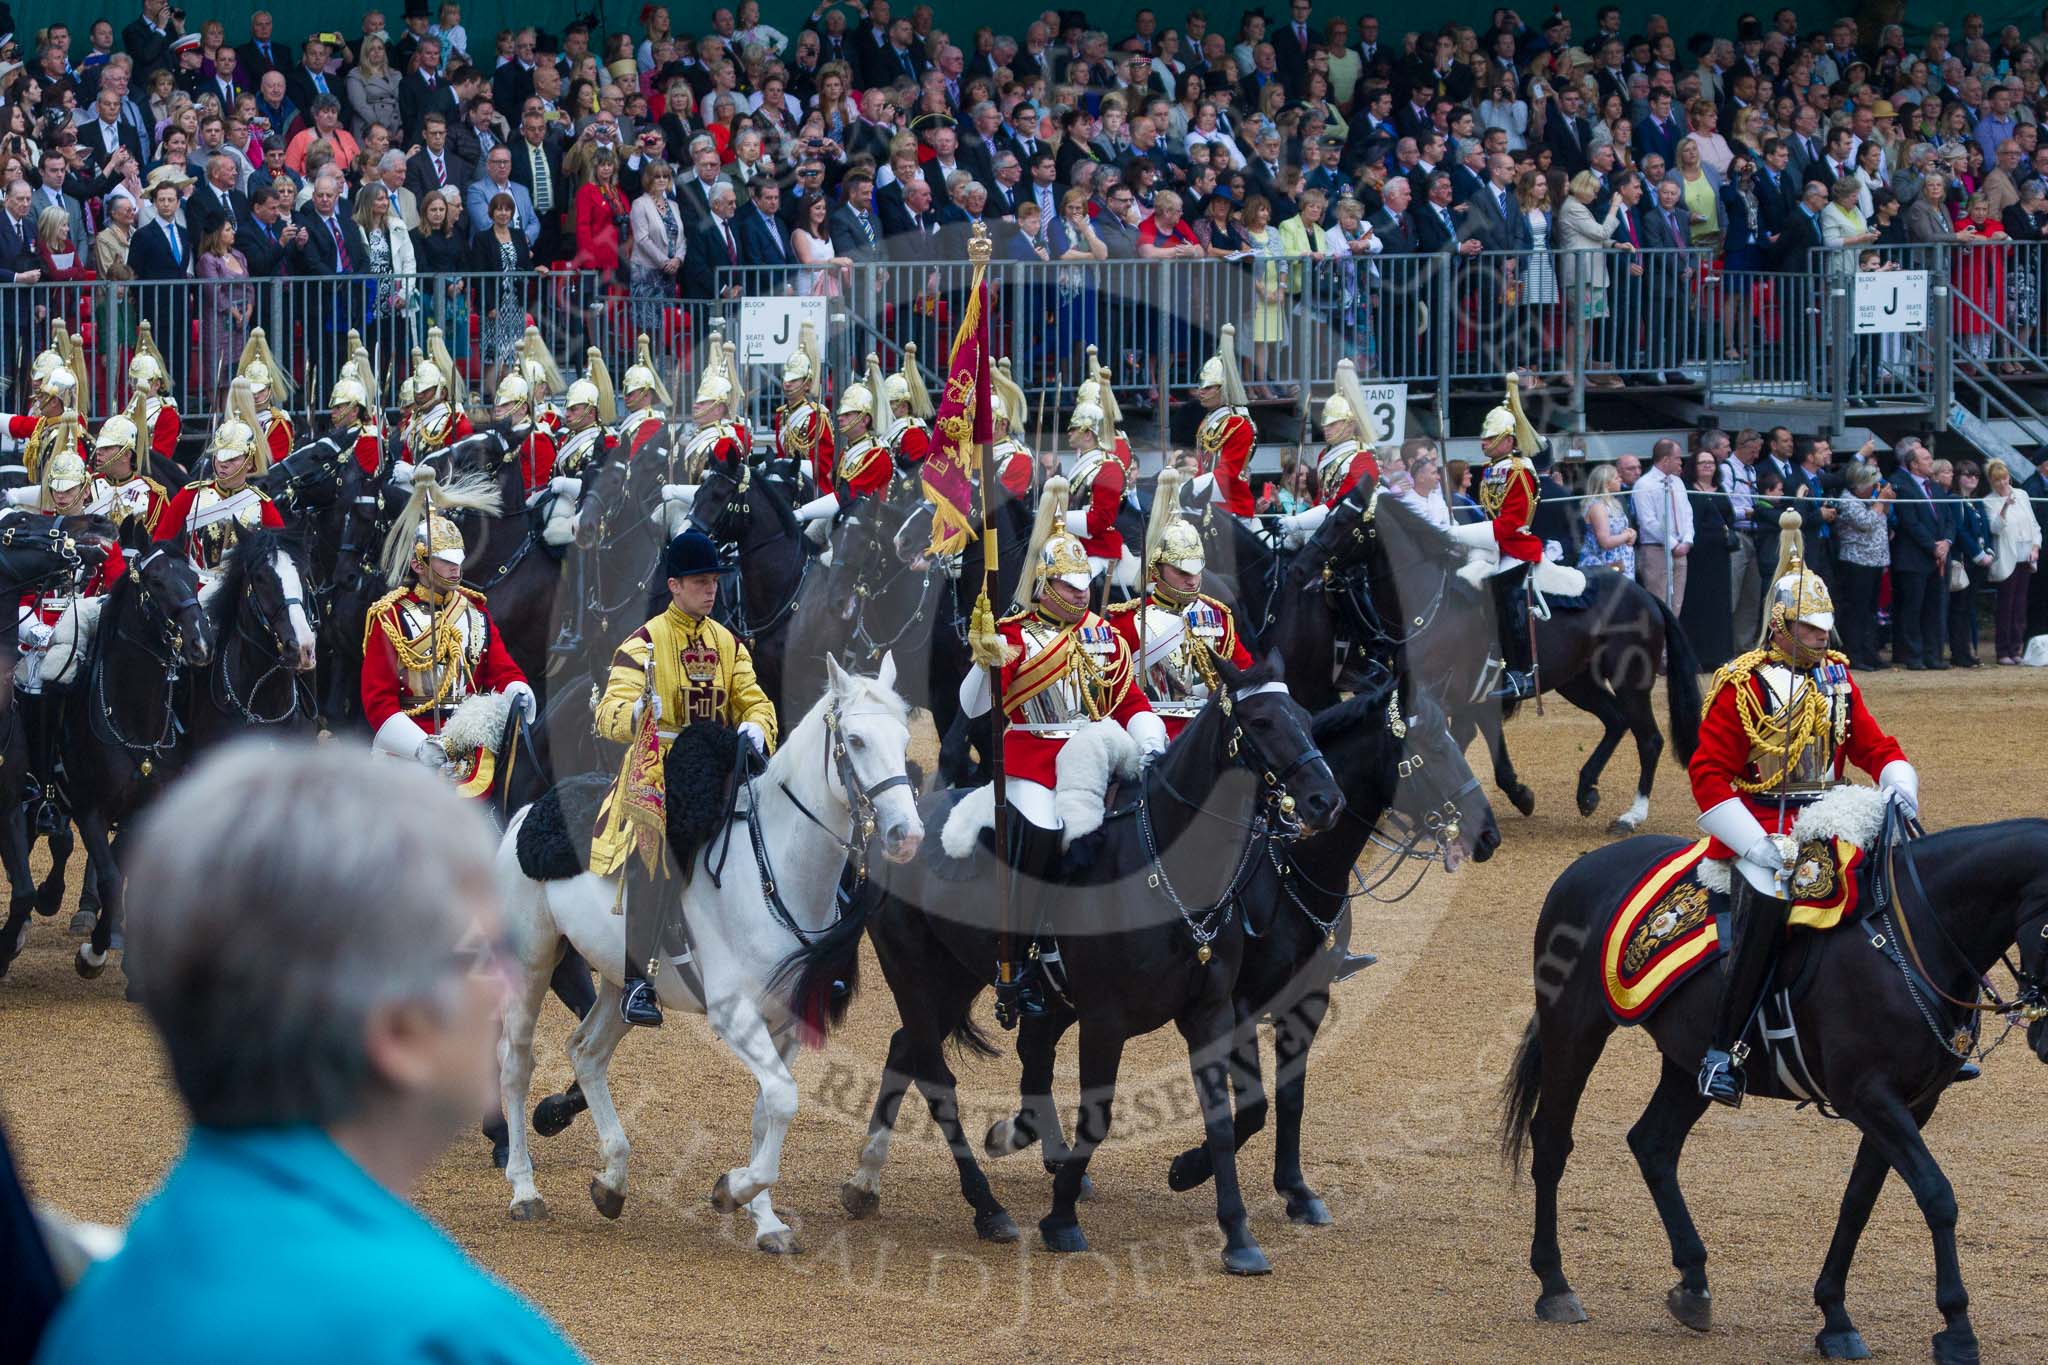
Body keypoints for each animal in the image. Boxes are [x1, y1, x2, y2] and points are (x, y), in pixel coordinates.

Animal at [491, 654, 917, 1252]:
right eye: (854, 740)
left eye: (904, 738)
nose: (907, 834)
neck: (775, 872)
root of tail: (530, 809)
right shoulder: (734, 1014)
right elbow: (784, 1099)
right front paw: (732, 1191)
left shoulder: (785, 1023)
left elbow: (769, 1108)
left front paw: (766, 1219)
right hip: (531, 963)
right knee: (517, 1062)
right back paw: (524, 1190)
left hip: (620, 982)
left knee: (586, 1052)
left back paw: (612, 1180)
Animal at [778, 650, 1343, 1268]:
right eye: (1261, 722)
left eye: (1307, 717)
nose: (1326, 802)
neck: (1168, 868)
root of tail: (894, 833)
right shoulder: (1106, 1021)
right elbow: (1097, 1118)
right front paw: (1061, 1219)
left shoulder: (1212, 1011)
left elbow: (1223, 1114)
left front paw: (1236, 1233)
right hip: (915, 974)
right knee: (936, 1077)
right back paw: (987, 1207)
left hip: (959, 977)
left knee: (910, 1050)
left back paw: (868, 1180)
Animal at [1499, 818, 2048, 1358]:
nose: (2044, 1038)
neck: (1911, 940)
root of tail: (1586, 867)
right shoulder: (1868, 1096)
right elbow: (1937, 1195)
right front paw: (1957, 1328)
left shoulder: (1912, 1104)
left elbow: (1858, 1201)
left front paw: (1834, 1315)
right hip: (1574, 1026)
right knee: (1552, 1140)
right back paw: (1555, 1285)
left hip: (1689, 1060)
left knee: (1653, 1142)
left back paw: (1693, 1281)